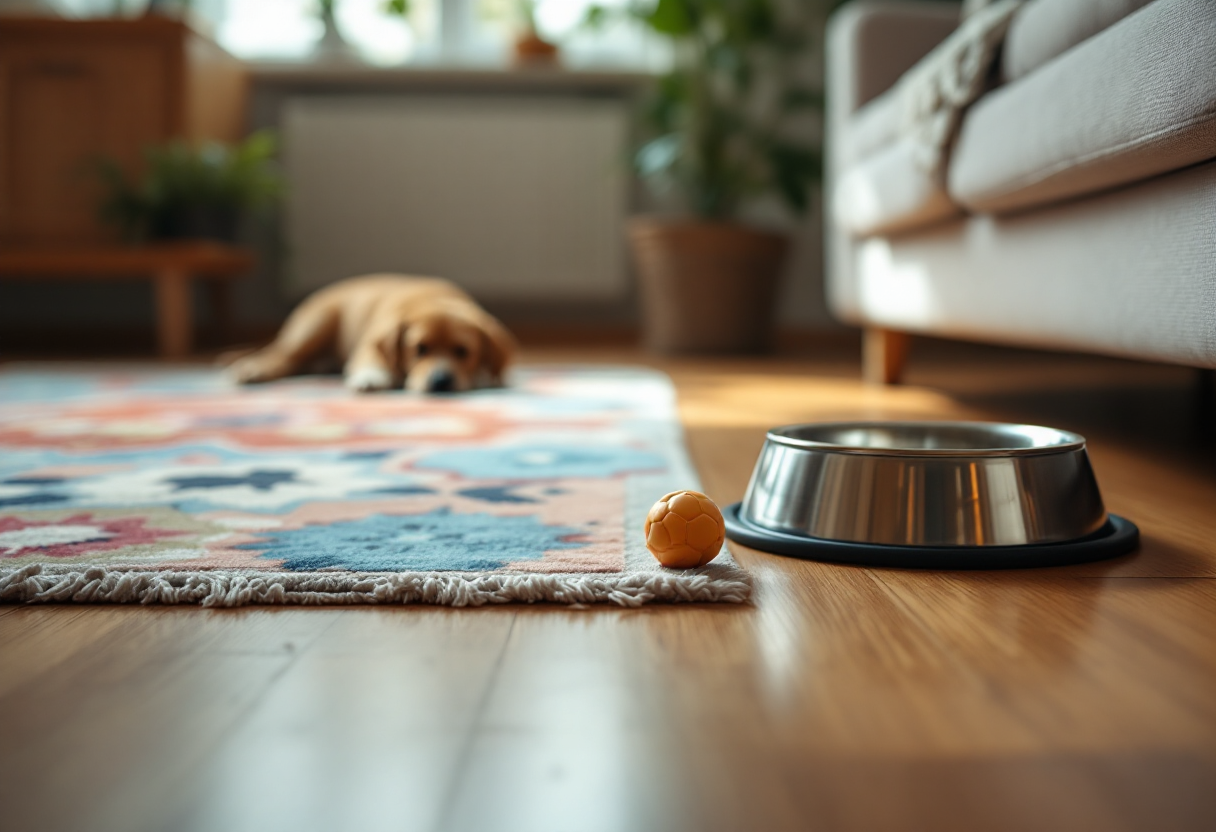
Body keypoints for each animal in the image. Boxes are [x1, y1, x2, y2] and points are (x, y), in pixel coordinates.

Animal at [226, 271, 515, 391]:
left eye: (463, 352)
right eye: (419, 349)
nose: (441, 381)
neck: (434, 300)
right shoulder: (367, 344)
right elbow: (371, 360)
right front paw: (371, 378)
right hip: (315, 325)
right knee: (283, 356)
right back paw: (255, 369)